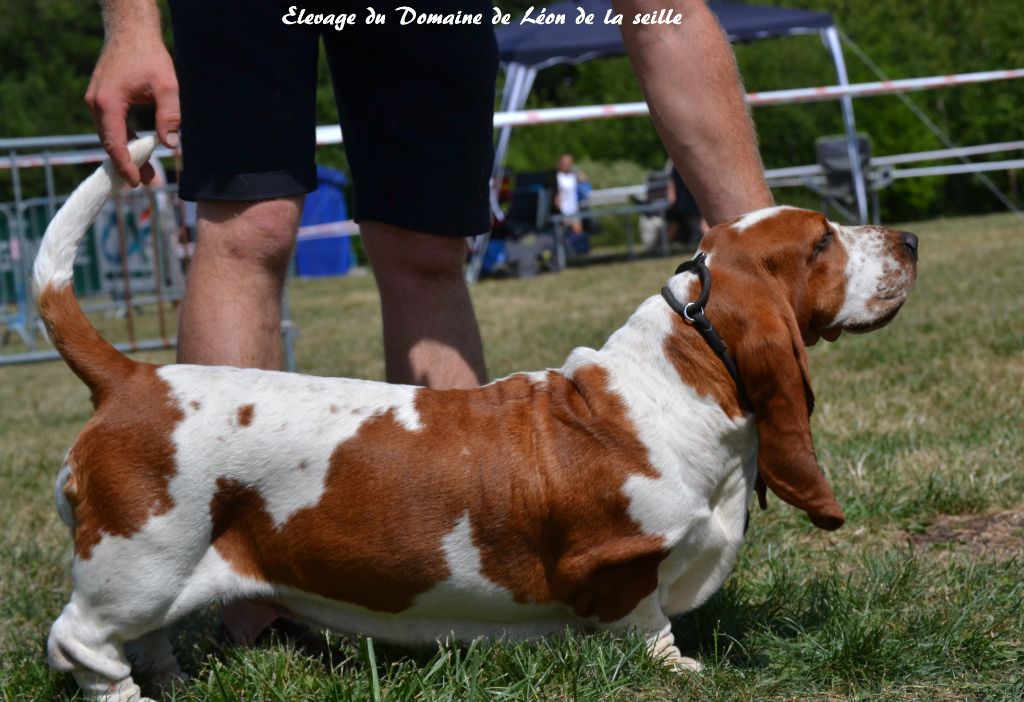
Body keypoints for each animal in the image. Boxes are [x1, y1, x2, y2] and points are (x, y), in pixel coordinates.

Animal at [35, 137, 918, 701]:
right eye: (820, 244)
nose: (909, 237)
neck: (680, 377)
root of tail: (133, 378)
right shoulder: (625, 566)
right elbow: (649, 628)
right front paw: (687, 675)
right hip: (140, 560)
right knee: (82, 643)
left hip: (158, 574)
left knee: (143, 641)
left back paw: (175, 684)